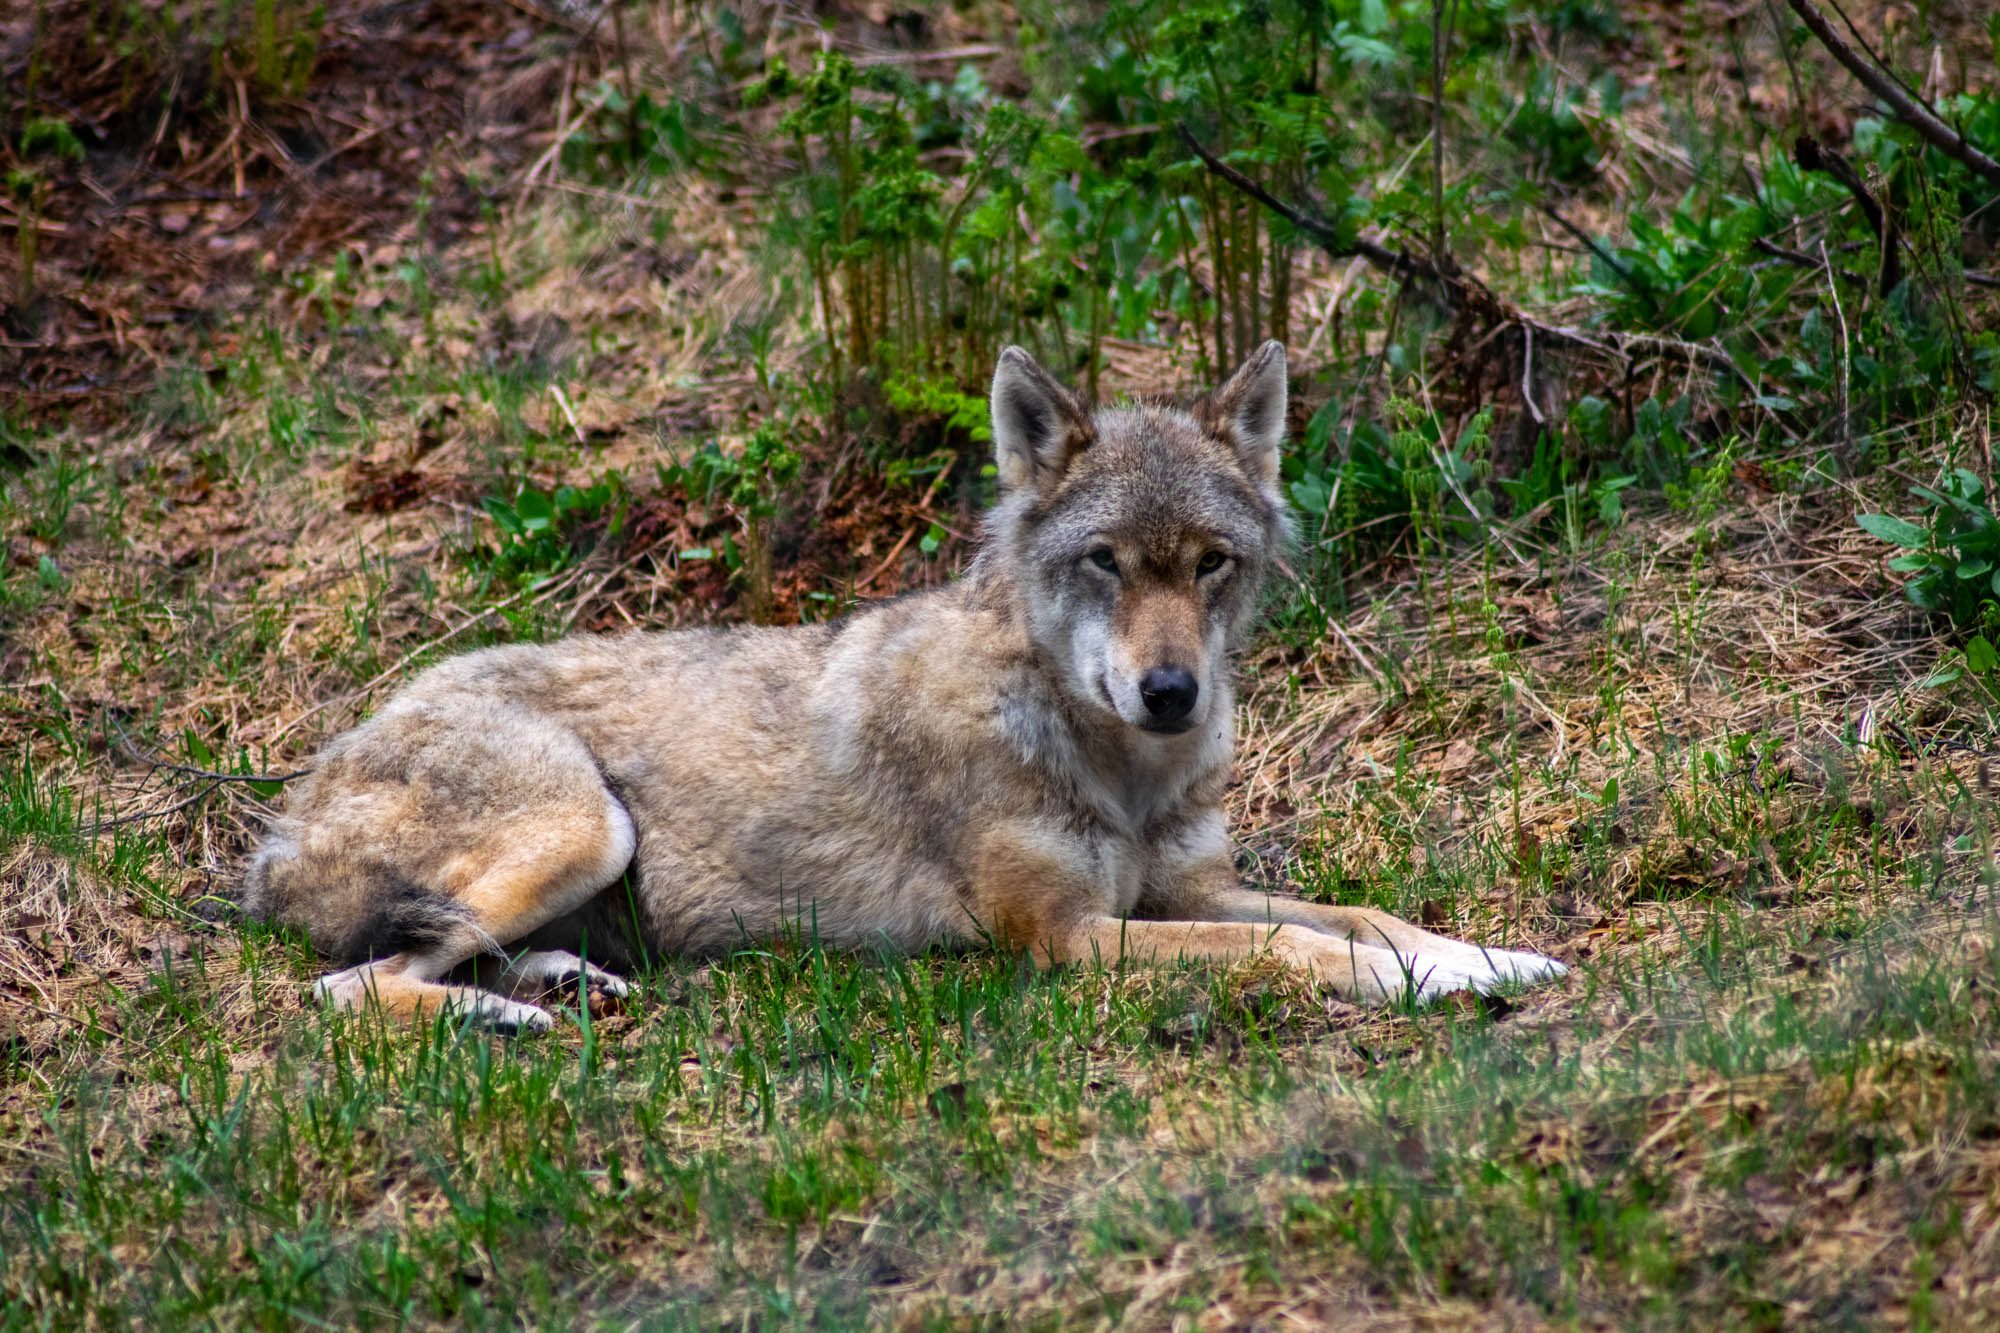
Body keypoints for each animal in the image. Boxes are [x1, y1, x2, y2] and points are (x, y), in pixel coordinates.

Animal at [246, 340, 1560, 1024]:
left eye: (1208, 565)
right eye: (1105, 563)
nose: (1169, 692)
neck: (1117, 768)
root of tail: (277, 821)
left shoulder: (1184, 892)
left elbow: (1362, 914)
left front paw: (1485, 958)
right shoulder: (1067, 939)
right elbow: (1296, 949)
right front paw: (1412, 986)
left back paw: (567, 982)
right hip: (585, 826)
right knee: (348, 986)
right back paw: (520, 1014)